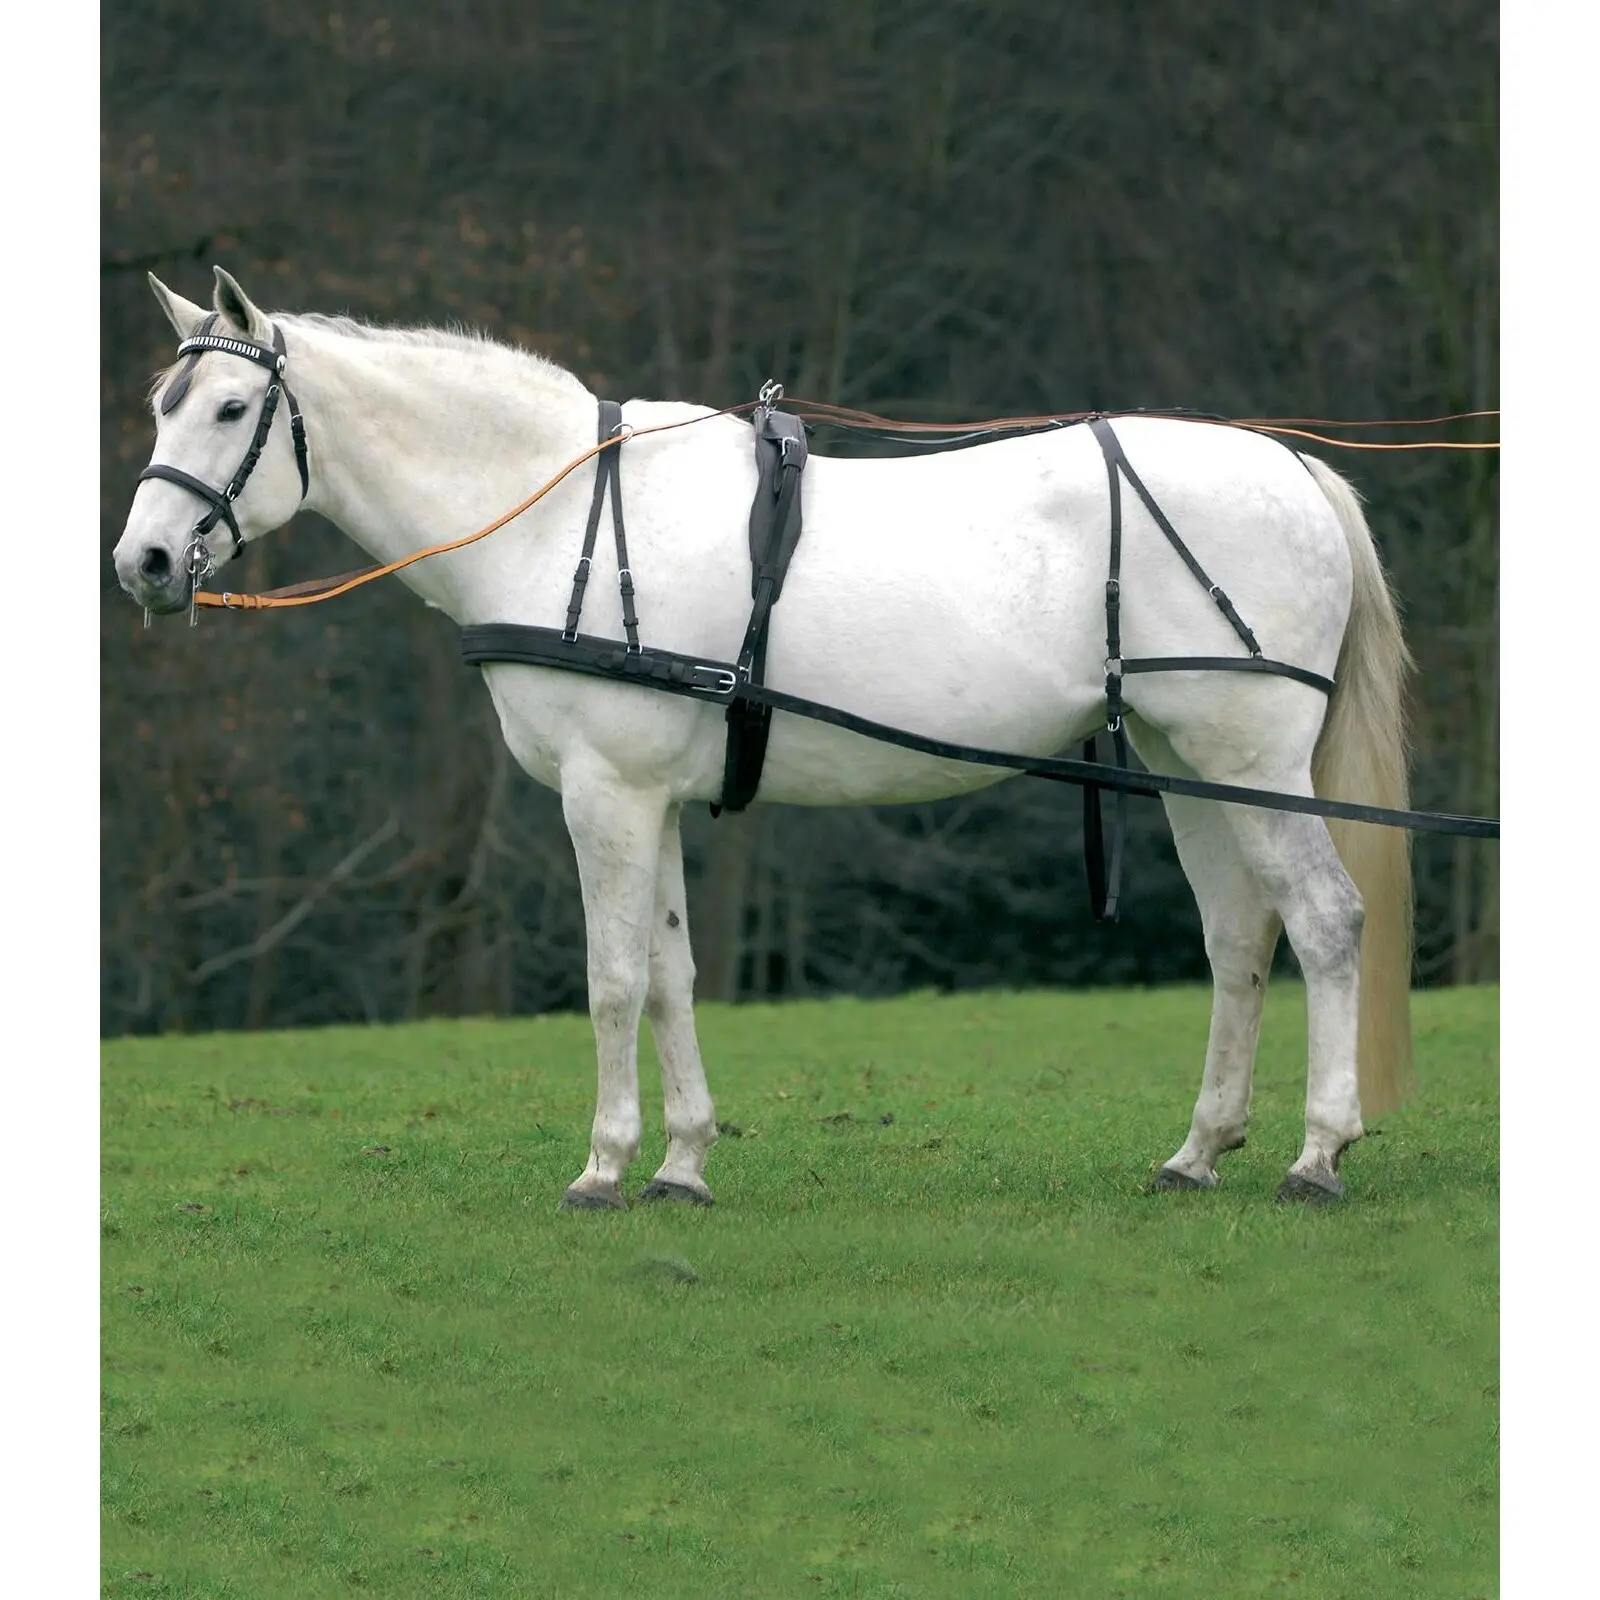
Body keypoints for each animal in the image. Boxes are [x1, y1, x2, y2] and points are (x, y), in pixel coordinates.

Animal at [113, 267, 1414, 1209]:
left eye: (231, 408)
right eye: (163, 407)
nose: (143, 563)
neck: (557, 514)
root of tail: (1291, 466)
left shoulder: (605, 794)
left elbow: (613, 978)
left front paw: (602, 1165)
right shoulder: (655, 798)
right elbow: (673, 975)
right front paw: (682, 1163)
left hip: (1252, 763)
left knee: (1325, 922)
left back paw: (1315, 1154)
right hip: (1193, 767)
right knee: (1239, 938)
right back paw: (1198, 1150)